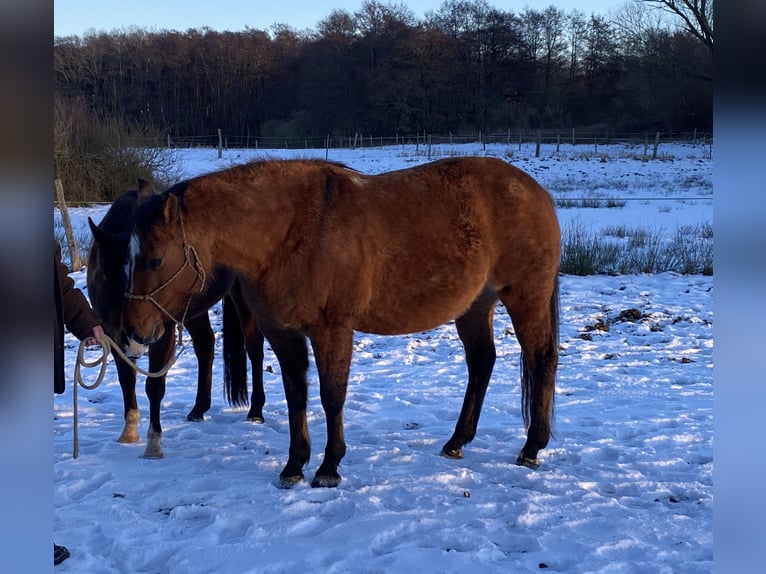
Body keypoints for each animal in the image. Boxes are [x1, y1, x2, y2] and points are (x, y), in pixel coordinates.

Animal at [87, 181, 266, 458]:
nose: (133, 332)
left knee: (254, 349)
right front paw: (129, 432)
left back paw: (256, 410)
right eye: (106, 271)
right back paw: (198, 409)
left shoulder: (164, 332)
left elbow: (155, 387)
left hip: (242, 299)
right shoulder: (111, 333)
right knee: (205, 345)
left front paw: (153, 444)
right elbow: (127, 379)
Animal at [120, 157, 560, 487]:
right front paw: (294, 466)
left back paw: (531, 448)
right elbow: (296, 396)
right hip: (474, 306)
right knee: (482, 362)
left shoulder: (332, 331)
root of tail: (537, 192)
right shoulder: (283, 334)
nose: (134, 331)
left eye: (155, 260)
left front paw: (329, 467)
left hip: (525, 297)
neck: (292, 231)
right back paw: (457, 441)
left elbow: (332, 397)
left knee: (541, 359)